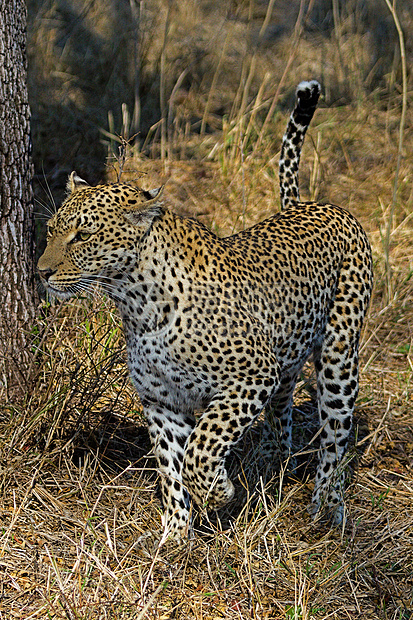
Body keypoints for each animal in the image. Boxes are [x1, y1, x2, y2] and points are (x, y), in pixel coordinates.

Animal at [38, 80, 374, 540]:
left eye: (83, 236)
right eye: (52, 230)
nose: (41, 271)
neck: (137, 304)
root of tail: (310, 205)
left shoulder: (250, 376)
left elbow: (201, 446)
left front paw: (218, 492)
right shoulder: (162, 400)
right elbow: (170, 467)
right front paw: (176, 534)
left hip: (339, 356)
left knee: (337, 436)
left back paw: (327, 508)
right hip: (288, 357)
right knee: (283, 412)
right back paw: (269, 465)